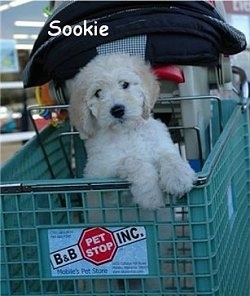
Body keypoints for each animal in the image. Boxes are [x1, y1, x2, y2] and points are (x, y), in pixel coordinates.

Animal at [69, 53, 196, 210]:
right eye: (97, 93)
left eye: (124, 84)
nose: (117, 110)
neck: (128, 131)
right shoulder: (100, 175)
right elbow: (132, 160)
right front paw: (151, 196)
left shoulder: (161, 144)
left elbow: (169, 156)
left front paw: (178, 177)